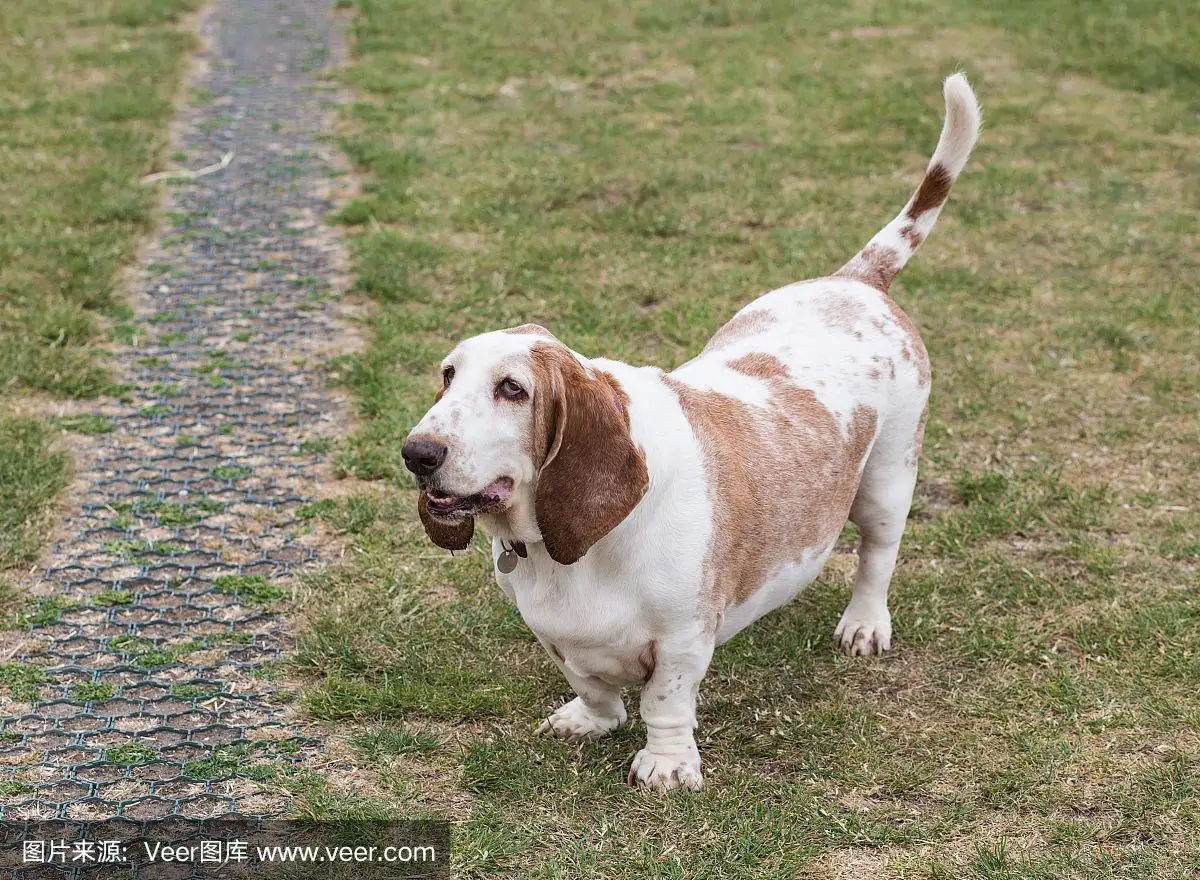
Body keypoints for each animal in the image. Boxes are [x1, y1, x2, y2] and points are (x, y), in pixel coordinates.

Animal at [403, 75, 984, 787]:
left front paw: (666, 765)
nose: (416, 454)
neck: (572, 552)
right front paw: (590, 720)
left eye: (512, 389)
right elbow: (591, 683)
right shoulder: (555, 634)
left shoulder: (682, 637)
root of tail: (855, 282)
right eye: (447, 375)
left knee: (878, 555)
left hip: (888, 479)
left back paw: (865, 625)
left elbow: (665, 700)